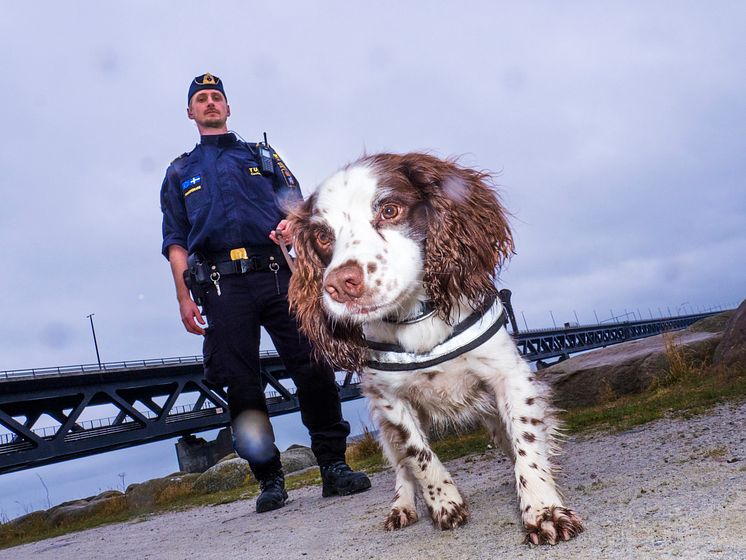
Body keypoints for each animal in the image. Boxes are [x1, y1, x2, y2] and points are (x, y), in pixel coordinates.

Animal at [284, 152, 580, 544]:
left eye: (390, 210)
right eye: (321, 236)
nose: (339, 285)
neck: (416, 320)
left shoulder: (510, 376)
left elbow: (526, 443)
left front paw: (543, 510)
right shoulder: (390, 400)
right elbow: (418, 455)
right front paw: (444, 503)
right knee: (401, 468)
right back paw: (402, 506)